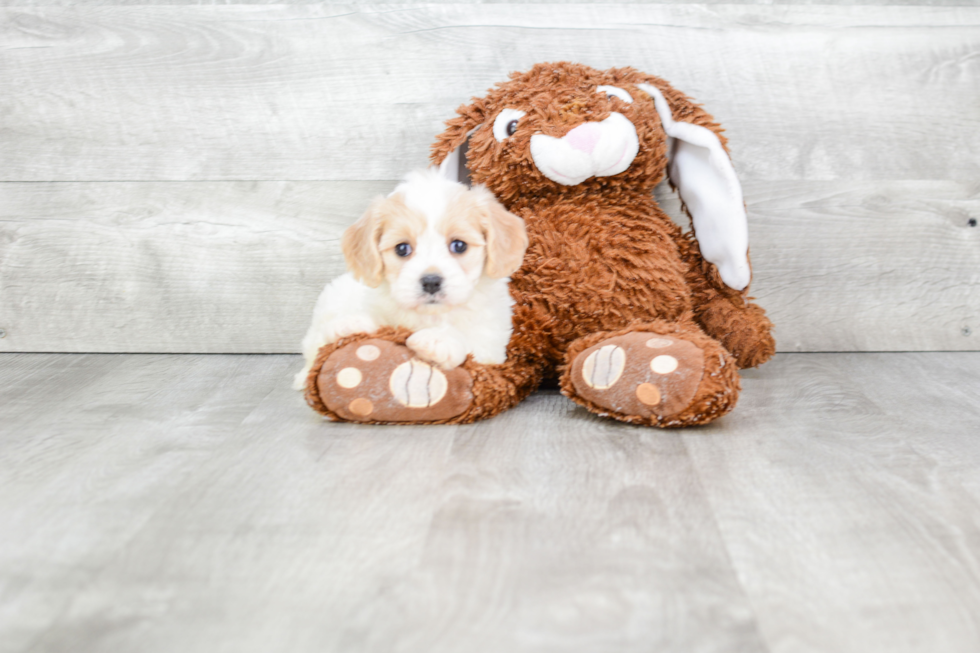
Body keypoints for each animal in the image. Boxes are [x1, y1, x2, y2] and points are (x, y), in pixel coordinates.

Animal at [304, 63, 772, 426]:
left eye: (612, 95)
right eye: (510, 125)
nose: (581, 134)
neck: (580, 198)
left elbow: (707, 286)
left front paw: (749, 333)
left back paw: (647, 360)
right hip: (517, 327)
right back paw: (388, 374)